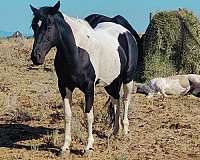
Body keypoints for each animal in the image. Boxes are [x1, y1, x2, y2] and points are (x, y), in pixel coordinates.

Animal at [30, 0, 139, 154]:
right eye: (34, 26)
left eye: (48, 26)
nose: (36, 57)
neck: (76, 53)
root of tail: (126, 32)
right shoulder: (64, 86)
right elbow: (67, 115)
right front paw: (65, 146)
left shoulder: (88, 88)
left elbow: (88, 115)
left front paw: (88, 146)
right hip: (110, 82)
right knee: (116, 101)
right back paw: (114, 132)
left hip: (128, 79)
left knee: (125, 100)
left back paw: (124, 131)